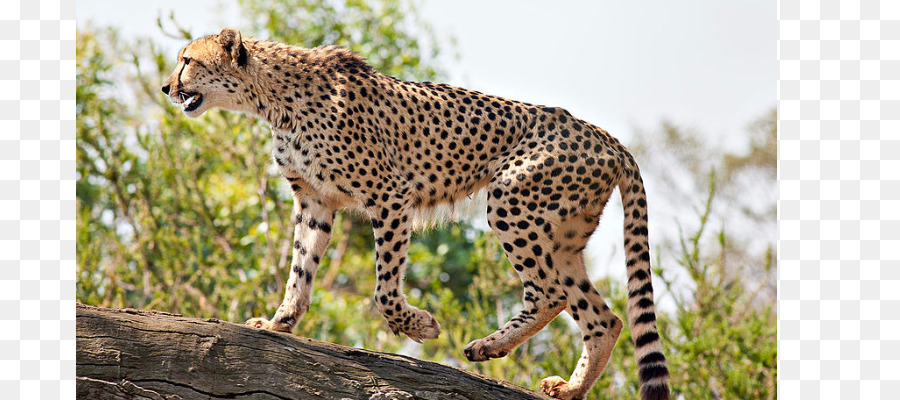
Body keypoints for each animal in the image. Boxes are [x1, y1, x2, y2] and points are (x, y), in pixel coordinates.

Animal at [162, 28, 668, 400]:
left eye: (187, 60)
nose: (166, 86)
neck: (274, 98)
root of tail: (605, 136)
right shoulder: (315, 201)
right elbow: (299, 272)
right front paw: (278, 323)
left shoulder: (389, 195)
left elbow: (384, 288)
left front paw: (418, 325)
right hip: (560, 236)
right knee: (602, 317)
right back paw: (565, 386)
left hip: (511, 203)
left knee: (552, 294)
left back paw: (497, 350)